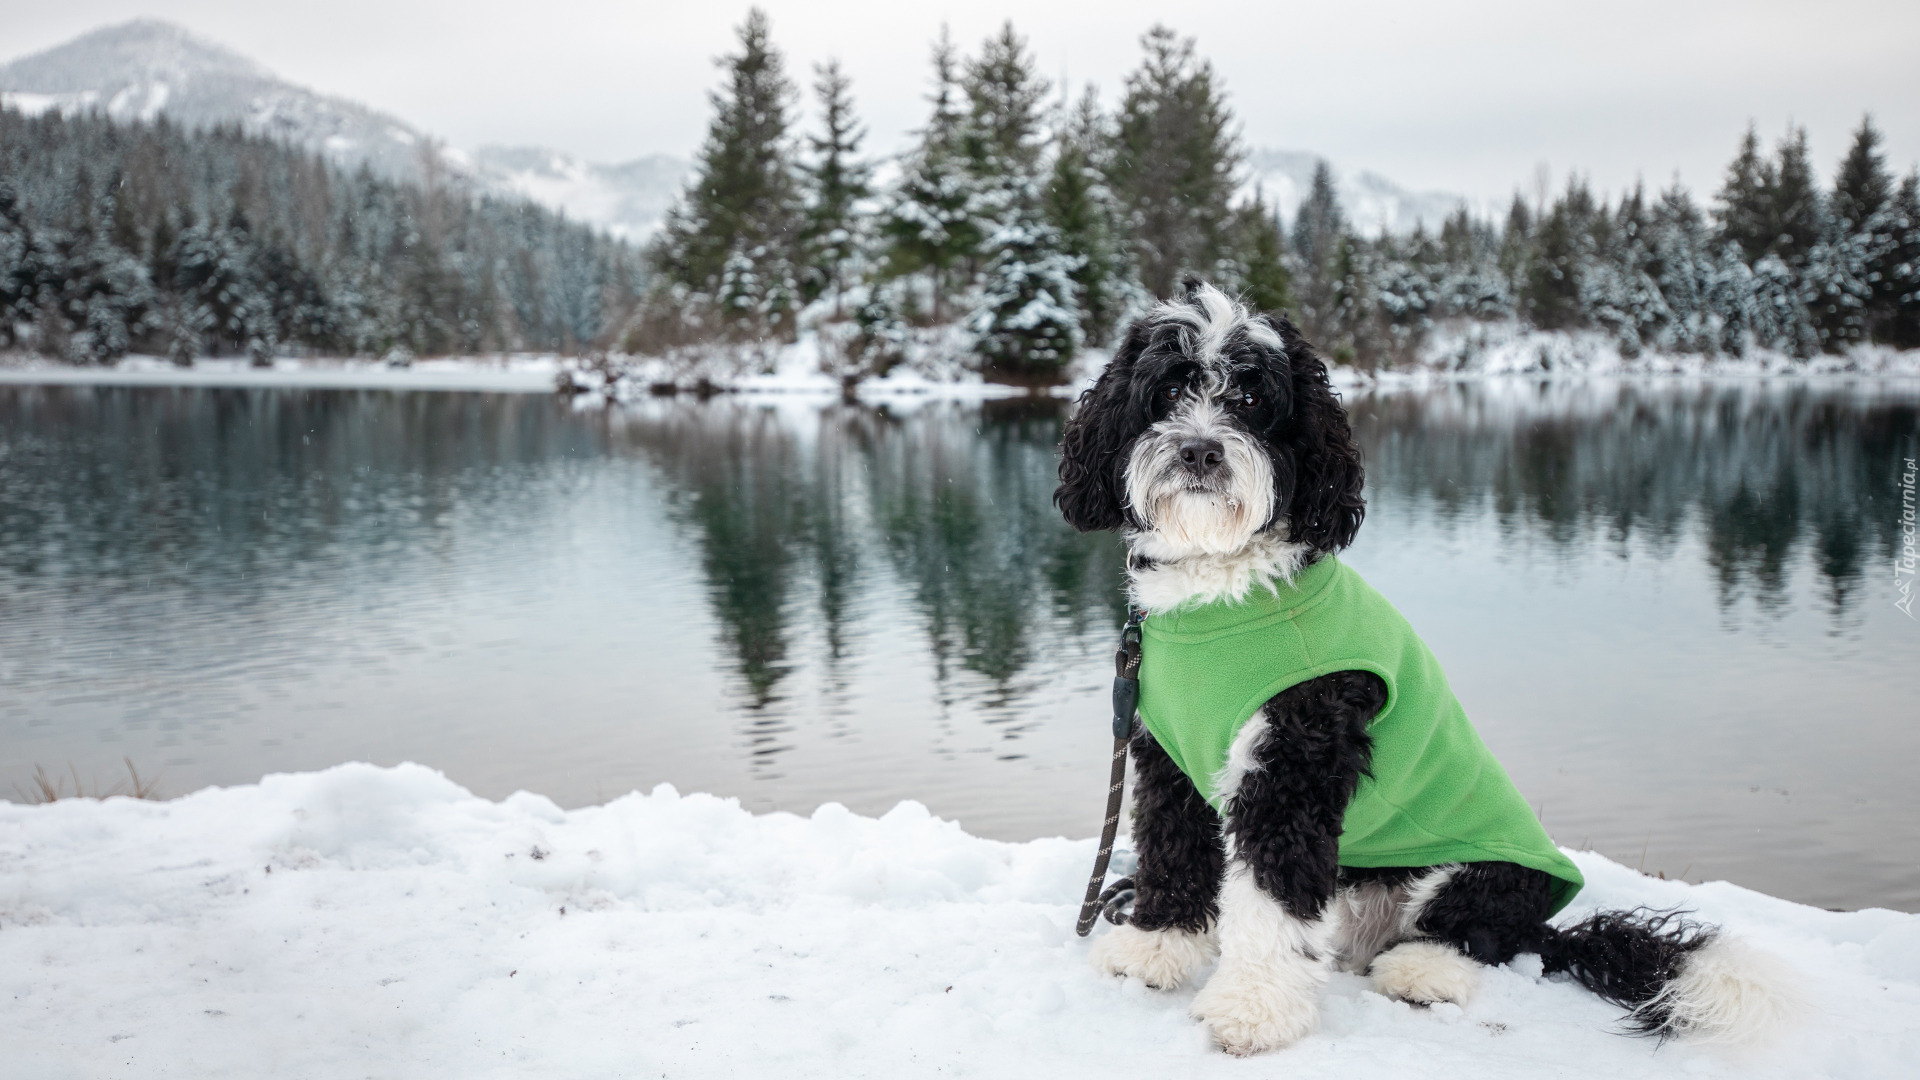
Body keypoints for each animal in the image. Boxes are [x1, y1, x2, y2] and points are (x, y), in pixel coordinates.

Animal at [1052, 276, 1781, 1053]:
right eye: (1166, 391)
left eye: (1250, 398)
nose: (1197, 451)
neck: (1224, 593)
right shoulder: (1170, 757)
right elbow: (1173, 849)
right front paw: (1155, 947)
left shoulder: (1292, 766)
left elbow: (1275, 899)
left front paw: (1253, 1011)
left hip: (1481, 873)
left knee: (1481, 937)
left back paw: (1423, 971)